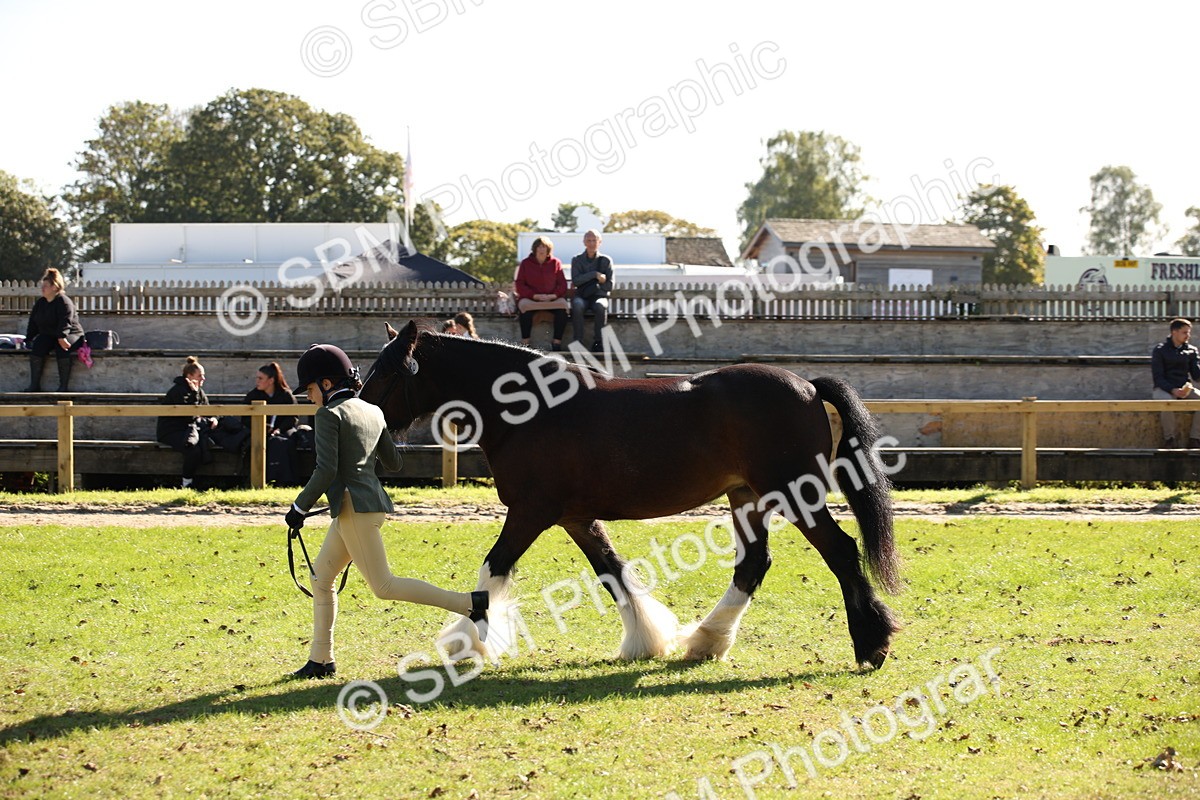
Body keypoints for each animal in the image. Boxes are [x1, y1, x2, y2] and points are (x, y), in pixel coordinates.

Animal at [359, 320, 901, 668]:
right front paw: (648, 639)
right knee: (753, 564)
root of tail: (807, 385)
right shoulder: (575, 518)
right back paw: (706, 642)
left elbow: (492, 570)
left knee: (840, 551)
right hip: (747, 498)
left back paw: (871, 646)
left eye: (387, 373)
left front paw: (465, 646)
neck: (530, 410)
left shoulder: (530, 512)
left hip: (793, 494)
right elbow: (613, 573)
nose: (360, 415)